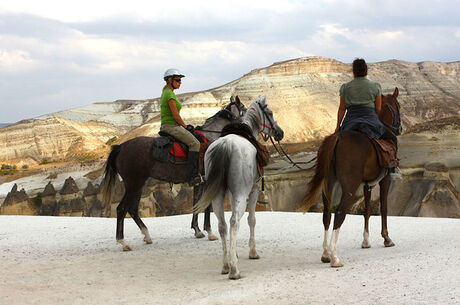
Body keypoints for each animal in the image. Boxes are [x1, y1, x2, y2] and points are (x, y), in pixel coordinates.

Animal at [99, 97, 246, 249]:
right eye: (244, 108)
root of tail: (120, 147)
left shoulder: (199, 182)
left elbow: (196, 203)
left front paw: (197, 230)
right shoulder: (208, 180)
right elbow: (206, 206)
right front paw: (209, 231)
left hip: (137, 184)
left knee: (132, 209)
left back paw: (146, 235)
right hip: (134, 183)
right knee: (122, 208)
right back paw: (123, 242)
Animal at [192, 95, 282, 278]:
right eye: (269, 112)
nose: (280, 133)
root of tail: (226, 145)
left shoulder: (230, 194)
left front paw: (234, 253)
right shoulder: (254, 191)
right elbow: (251, 220)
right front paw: (252, 252)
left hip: (218, 195)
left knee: (222, 224)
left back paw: (226, 264)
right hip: (242, 192)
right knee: (234, 221)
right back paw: (234, 269)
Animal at [300, 86, 400, 266]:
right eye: (399, 106)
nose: (399, 129)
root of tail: (337, 138)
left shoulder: (368, 184)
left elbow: (367, 209)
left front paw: (366, 241)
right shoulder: (385, 180)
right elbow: (384, 207)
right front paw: (387, 238)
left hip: (328, 184)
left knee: (327, 214)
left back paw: (325, 254)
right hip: (349, 186)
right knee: (339, 213)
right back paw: (335, 257)